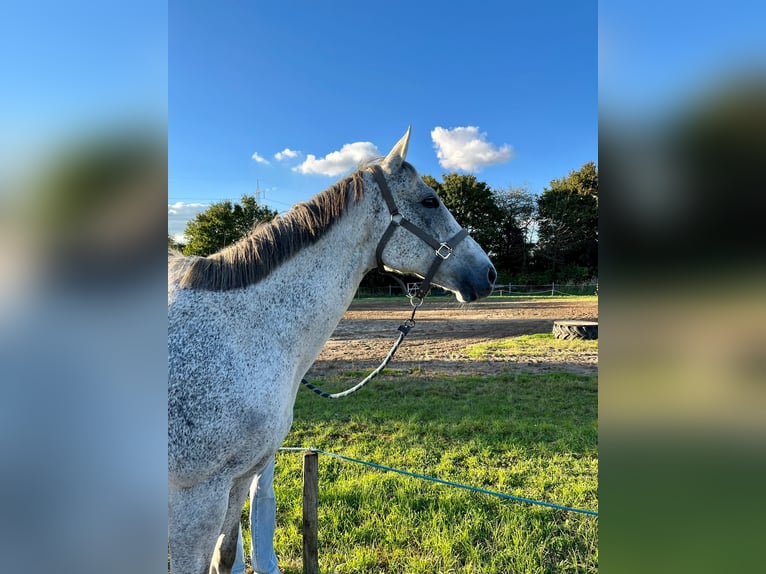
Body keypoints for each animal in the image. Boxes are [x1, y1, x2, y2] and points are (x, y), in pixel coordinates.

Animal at [168, 128, 496, 574]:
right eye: (430, 200)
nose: (489, 273)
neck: (244, 330)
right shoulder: (196, 498)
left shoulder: (237, 481)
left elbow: (227, 554)